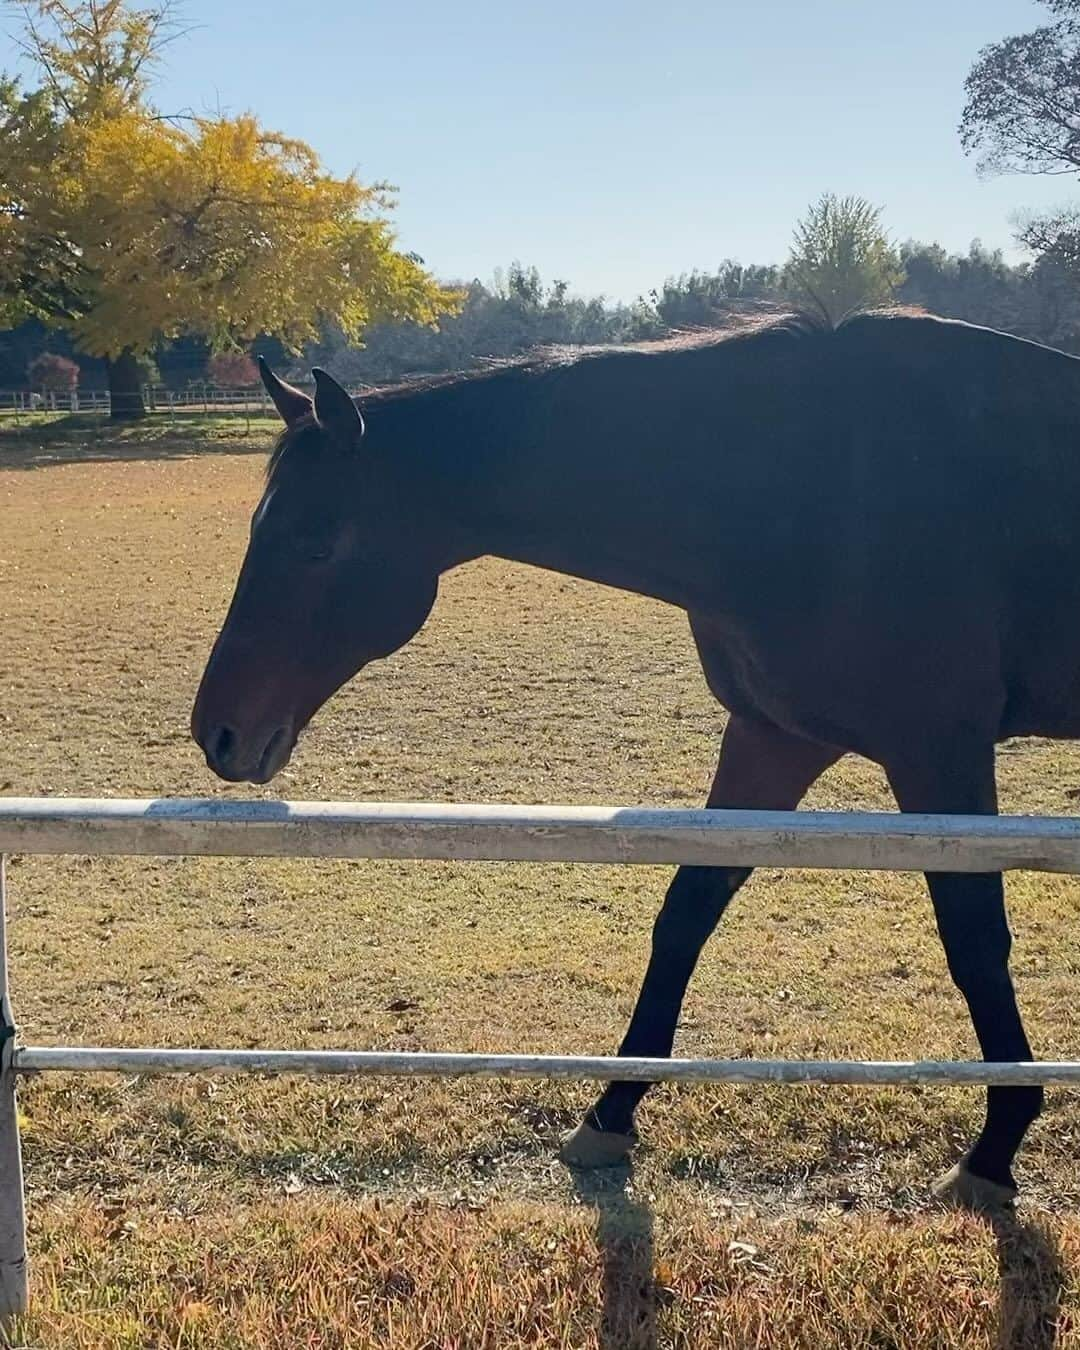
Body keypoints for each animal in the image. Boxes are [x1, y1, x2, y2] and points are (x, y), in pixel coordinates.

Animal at [187, 315, 1080, 1215]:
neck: (805, 490)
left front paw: (995, 1149)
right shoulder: (772, 737)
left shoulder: (939, 755)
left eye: (314, 544)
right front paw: (610, 1113)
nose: (217, 732)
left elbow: (974, 942)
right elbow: (686, 912)